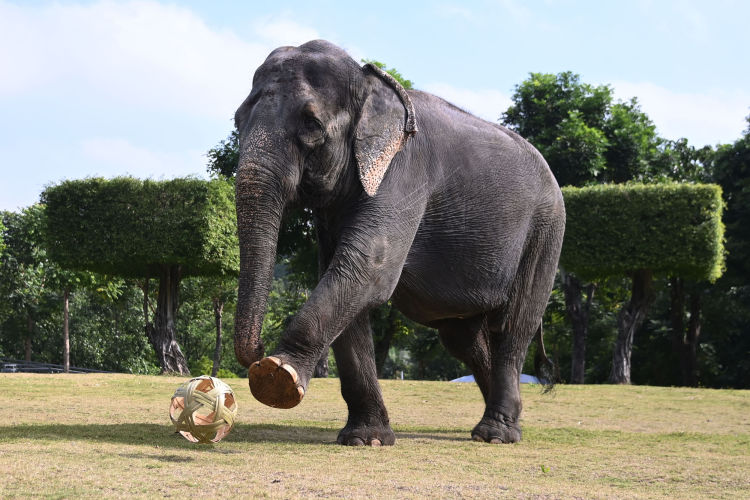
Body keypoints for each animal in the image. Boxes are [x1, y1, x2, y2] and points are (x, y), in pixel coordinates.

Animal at [232, 40, 568, 446]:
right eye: (237, 121)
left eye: (311, 124)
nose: (258, 350)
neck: (368, 80)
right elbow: (346, 277)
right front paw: (366, 439)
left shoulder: (405, 172)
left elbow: (367, 268)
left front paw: (278, 377)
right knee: (462, 338)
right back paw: (506, 423)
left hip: (545, 231)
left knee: (512, 326)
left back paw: (496, 434)